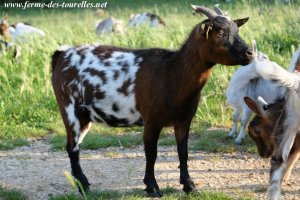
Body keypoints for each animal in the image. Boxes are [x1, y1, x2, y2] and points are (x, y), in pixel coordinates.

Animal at [51, 5, 253, 198]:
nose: (250, 52)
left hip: (84, 116)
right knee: (72, 147)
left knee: (75, 145)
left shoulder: (183, 120)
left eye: (236, 30)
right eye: (219, 32)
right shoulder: (152, 120)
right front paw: (152, 187)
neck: (171, 72)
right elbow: (151, 153)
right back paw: (84, 186)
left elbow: (183, 151)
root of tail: (60, 55)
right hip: (69, 109)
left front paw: (189, 186)